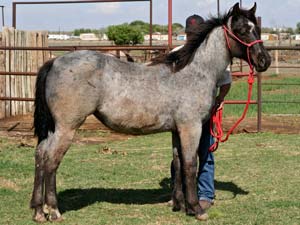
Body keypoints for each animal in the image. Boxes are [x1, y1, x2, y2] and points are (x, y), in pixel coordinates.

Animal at [31, 2, 272, 222]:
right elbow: (190, 165)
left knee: (40, 155)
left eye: (257, 29)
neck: (196, 71)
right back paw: (53, 211)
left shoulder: (176, 130)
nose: (264, 60)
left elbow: (177, 163)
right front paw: (196, 209)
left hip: (55, 129)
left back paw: (38, 211)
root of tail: (54, 61)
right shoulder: (191, 128)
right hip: (67, 128)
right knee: (51, 160)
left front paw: (179, 205)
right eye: (242, 30)